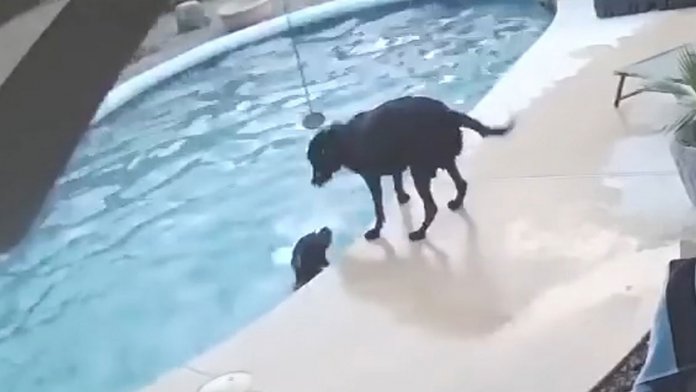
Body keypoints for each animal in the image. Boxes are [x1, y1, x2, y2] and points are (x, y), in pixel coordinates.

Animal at [308, 95, 512, 242]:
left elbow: (378, 207)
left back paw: (419, 233)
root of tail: (448, 113)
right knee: (461, 184)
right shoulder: (396, 166)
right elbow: (397, 183)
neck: (344, 140)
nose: (313, 182)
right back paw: (455, 203)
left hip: (420, 171)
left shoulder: (371, 178)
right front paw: (403, 198)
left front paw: (376, 231)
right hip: (445, 161)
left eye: (316, 161)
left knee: (431, 207)